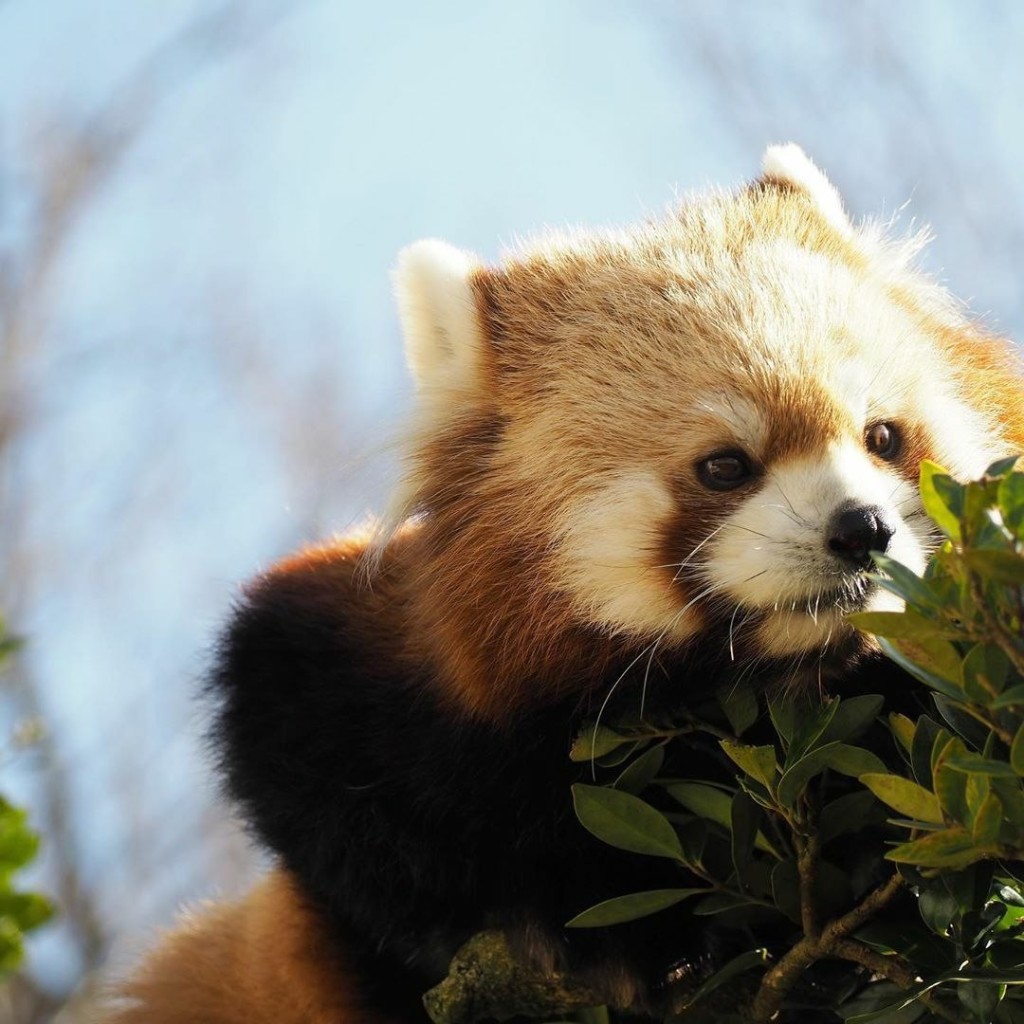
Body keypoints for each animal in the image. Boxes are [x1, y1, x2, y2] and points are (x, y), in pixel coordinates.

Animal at [103, 146, 1024, 1024]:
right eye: (725, 466)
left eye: (883, 436)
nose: (862, 531)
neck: (760, 685)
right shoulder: (341, 674)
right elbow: (337, 796)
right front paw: (604, 935)